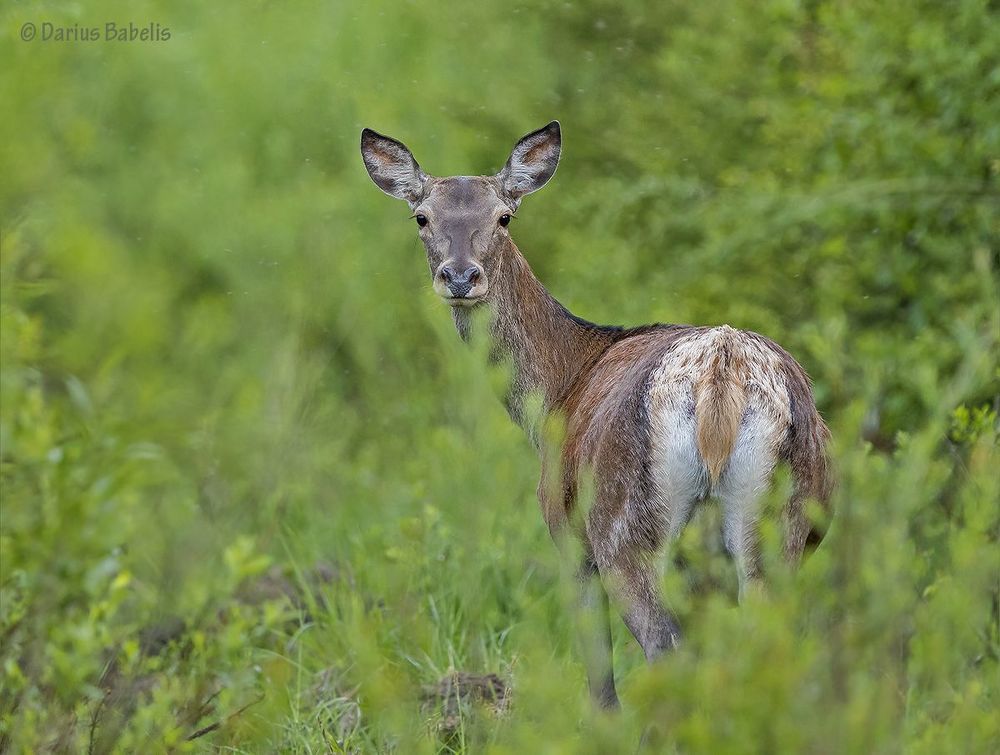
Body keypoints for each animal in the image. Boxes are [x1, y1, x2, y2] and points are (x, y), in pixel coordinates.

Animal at [360, 121, 833, 709]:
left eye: (504, 216)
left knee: (662, 647)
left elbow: (600, 679)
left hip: (623, 527)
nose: (461, 276)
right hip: (779, 523)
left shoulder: (565, 533)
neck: (559, 391)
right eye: (422, 217)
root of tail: (719, 378)